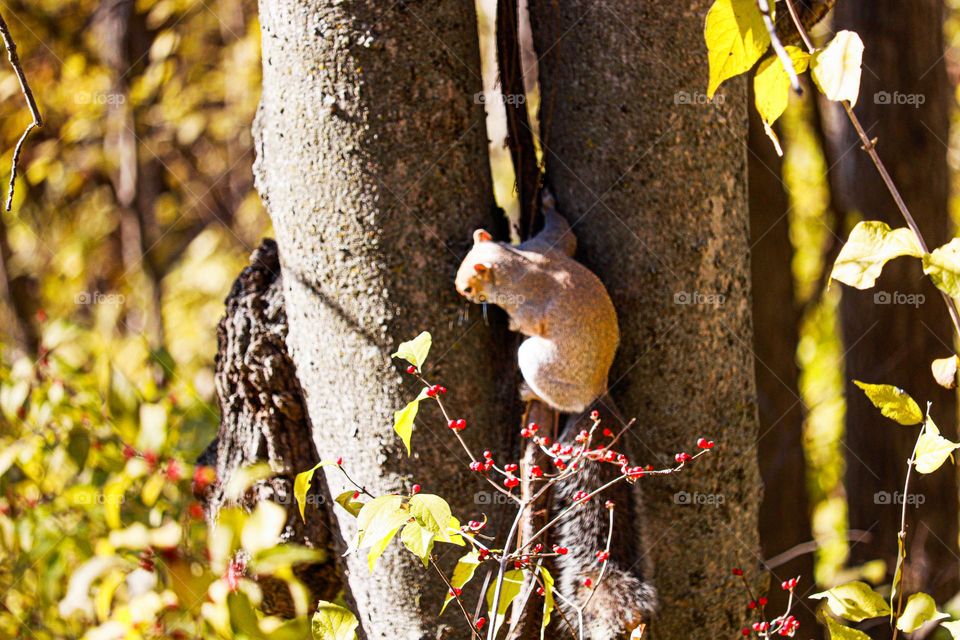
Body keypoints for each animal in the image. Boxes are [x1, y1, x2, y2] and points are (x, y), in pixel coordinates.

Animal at [455, 191, 657, 638]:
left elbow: (525, 320)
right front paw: (547, 203)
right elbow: (565, 234)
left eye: (470, 282)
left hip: (538, 361)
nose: (461, 292)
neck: (518, 264)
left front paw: (509, 322)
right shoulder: (549, 244)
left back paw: (530, 391)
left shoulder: (530, 304)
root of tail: (596, 391)